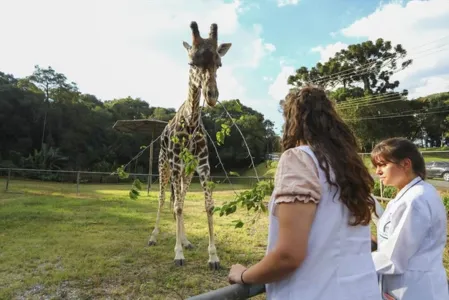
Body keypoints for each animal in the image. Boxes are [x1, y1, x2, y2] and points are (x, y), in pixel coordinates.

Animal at [147, 21, 231, 270]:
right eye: (192, 62)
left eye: (219, 63)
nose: (211, 95)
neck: (192, 122)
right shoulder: (175, 164)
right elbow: (175, 205)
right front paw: (178, 255)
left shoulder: (202, 164)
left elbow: (208, 205)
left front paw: (213, 257)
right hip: (164, 166)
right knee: (164, 199)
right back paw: (154, 237)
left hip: (186, 172)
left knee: (180, 198)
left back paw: (186, 240)